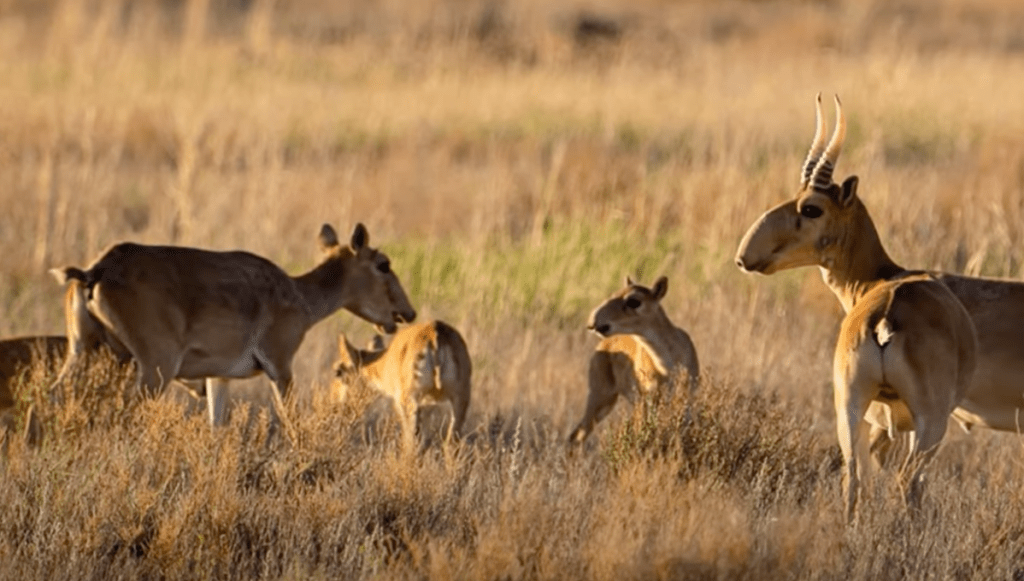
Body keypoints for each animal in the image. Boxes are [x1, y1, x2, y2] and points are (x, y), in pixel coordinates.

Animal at [49, 221, 417, 428]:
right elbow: (291, 421)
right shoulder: (280, 366)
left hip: (84, 351)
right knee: (121, 413)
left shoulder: (218, 377)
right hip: (155, 367)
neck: (299, 295)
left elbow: (217, 426)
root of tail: (94, 272)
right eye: (383, 264)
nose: (407, 313)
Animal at [333, 319, 473, 448]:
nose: (334, 403)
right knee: (451, 441)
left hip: (411, 402)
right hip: (460, 399)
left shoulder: (400, 403)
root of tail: (435, 332)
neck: (383, 361)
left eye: (338, 372)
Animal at [569, 276, 704, 444]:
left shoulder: (687, 398)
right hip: (600, 396)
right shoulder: (644, 400)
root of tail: (602, 345)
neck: (668, 364)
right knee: (576, 435)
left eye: (634, 301)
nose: (592, 320)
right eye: (614, 293)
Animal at [733, 93, 978, 520]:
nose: (746, 255)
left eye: (810, 207)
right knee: (906, 481)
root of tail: (886, 317)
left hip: (849, 407)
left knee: (852, 479)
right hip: (928, 422)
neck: (884, 278)